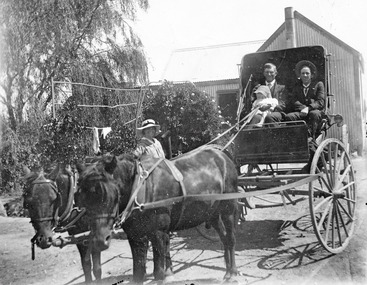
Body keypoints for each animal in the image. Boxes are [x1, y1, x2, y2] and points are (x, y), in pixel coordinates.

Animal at [77, 145, 239, 282]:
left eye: (111, 194)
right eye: (81, 198)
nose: (100, 240)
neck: (140, 188)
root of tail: (223, 156)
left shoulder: (158, 234)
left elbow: (159, 273)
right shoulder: (135, 236)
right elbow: (138, 272)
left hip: (228, 209)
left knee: (231, 239)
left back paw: (233, 273)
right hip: (212, 213)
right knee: (224, 238)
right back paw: (227, 271)